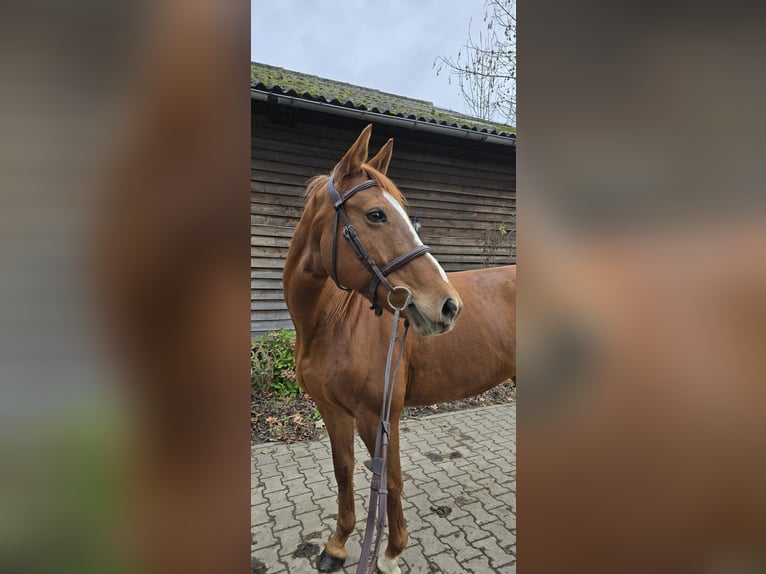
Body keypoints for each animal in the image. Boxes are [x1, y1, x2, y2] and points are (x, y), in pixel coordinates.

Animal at [283, 124, 516, 574]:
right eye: (376, 214)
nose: (448, 305)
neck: (332, 321)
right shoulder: (333, 410)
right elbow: (344, 472)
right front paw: (337, 545)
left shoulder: (379, 415)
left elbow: (390, 481)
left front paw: (390, 553)